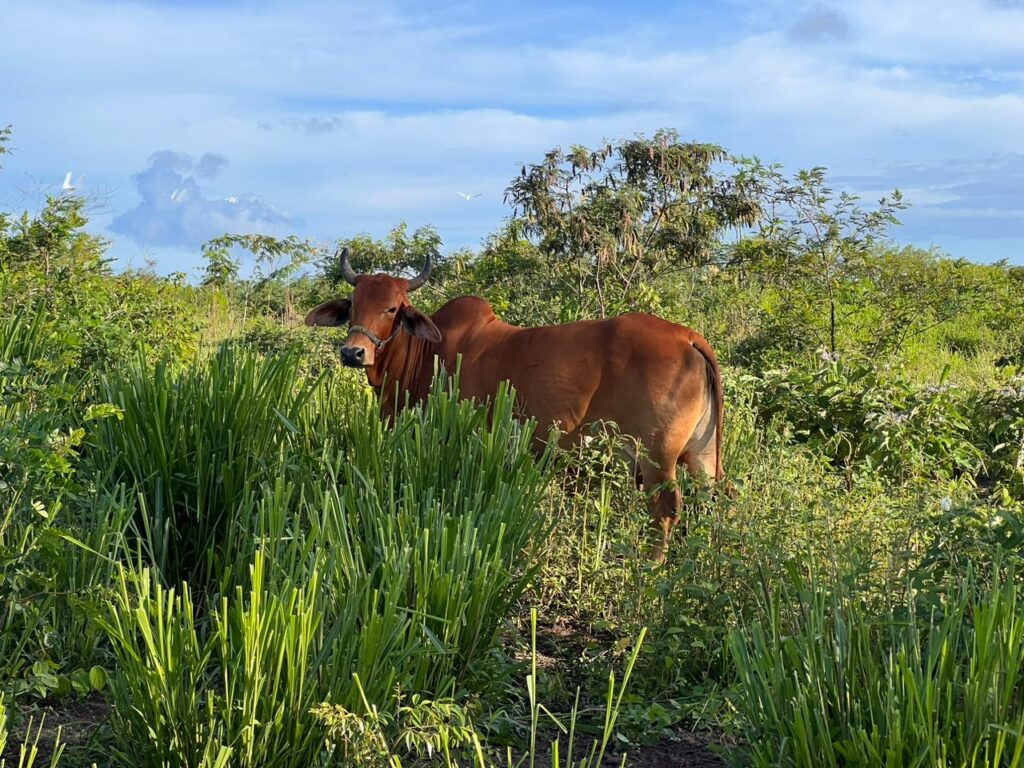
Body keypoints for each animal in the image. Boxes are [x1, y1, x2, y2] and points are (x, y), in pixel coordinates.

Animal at [307, 250, 724, 561]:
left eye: (393, 308)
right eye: (353, 304)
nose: (353, 352)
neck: (424, 355)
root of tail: (686, 335)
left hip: (656, 457)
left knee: (666, 509)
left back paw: (651, 568)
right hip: (700, 456)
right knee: (711, 502)